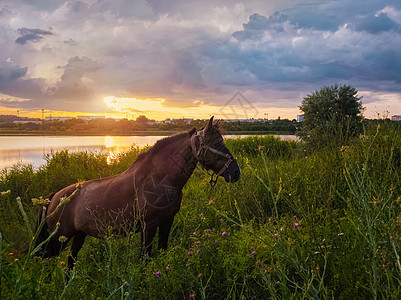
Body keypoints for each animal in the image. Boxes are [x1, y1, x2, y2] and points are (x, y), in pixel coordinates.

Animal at [34, 117, 239, 270]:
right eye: (215, 143)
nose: (236, 172)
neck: (159, 179)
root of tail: (53, 198)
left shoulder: (167, 222)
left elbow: (162, 250)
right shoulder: (149, 226)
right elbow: (145, 257)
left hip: (78, 236)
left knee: (70, 265)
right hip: (59, 239)